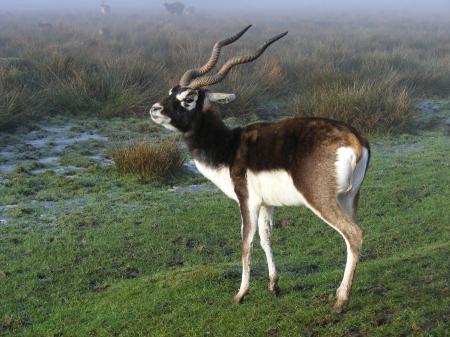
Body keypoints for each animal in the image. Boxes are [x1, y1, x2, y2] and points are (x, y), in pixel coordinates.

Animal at [149, 25, 370, 312]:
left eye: (189, 98)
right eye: (171, 91)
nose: (155, 109)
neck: (228, 146)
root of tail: (354, 139)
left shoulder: (247, 200)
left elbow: (246, 242)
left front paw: (240, 294)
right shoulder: (267, 203)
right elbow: (266, 238)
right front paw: (274, 285)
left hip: (321, 200)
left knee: (354, 234)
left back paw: (340, 301)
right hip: (349, 198)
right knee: (353, 236)